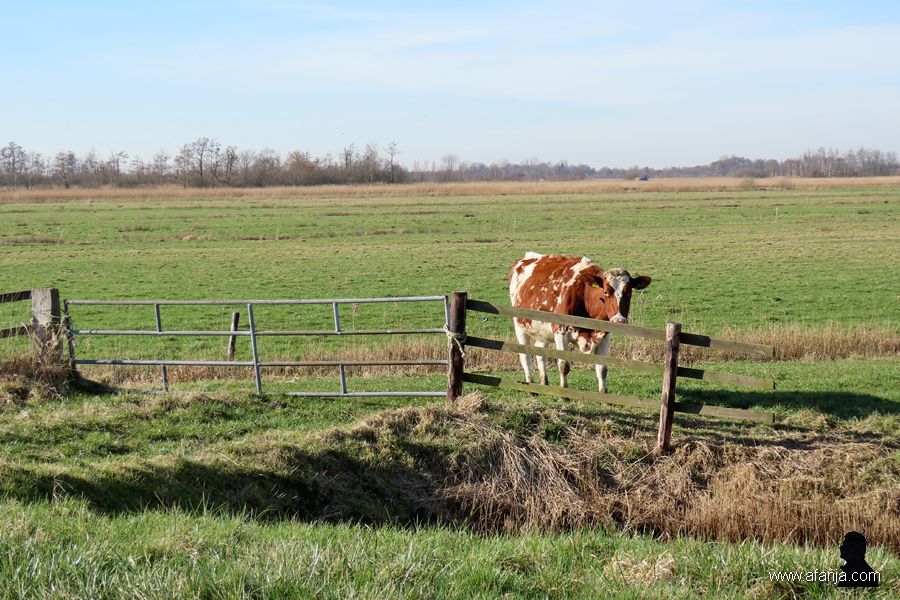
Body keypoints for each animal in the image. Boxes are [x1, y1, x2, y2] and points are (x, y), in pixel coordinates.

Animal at [508, 252, 651, 393]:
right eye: (605, 292)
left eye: (629, 292)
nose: (619, 320)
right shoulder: (560, 332)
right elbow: (563, 365)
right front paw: (563, 393)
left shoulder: (605, 336)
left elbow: (602, 369)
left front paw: (603, 394)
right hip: (519, 326)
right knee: (525, 356)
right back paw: (530, 387)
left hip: (542, 331)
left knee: (540, 353)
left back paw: (544, 383)